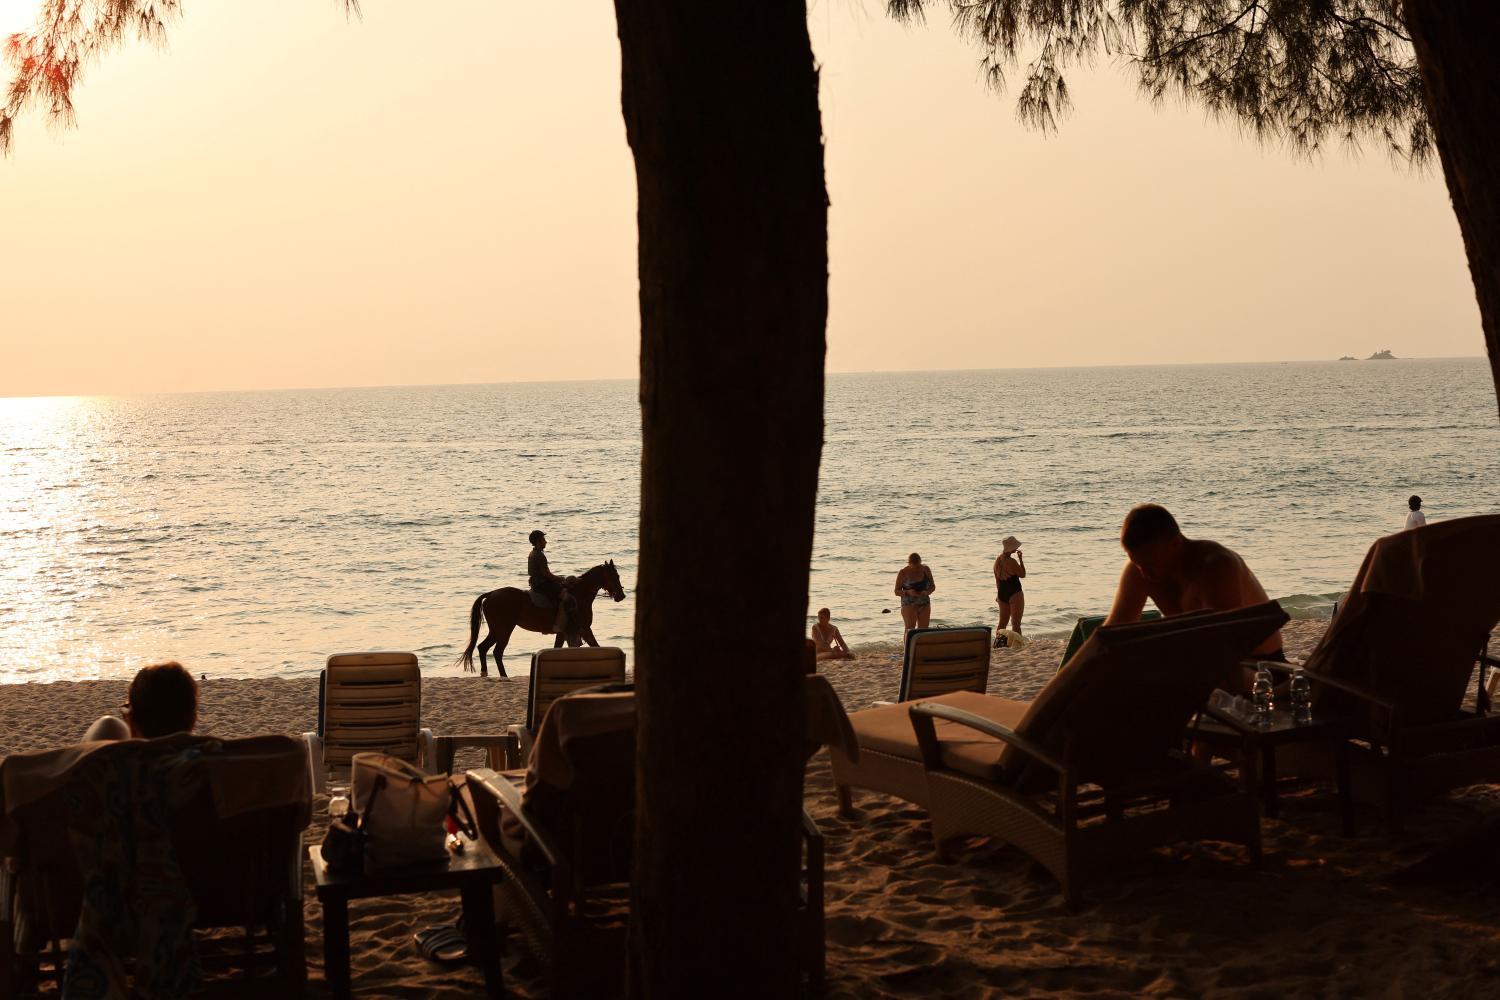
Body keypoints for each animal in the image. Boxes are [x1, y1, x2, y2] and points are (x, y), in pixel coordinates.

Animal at [453, 560, 624, 677]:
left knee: (483, 647)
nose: (621, 596)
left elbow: (560, 649)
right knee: (497, 651)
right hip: (504, 630)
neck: (579, 595)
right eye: (615, 576)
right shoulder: (583, 629)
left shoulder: (567, 632)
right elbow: (596, 646)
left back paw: (485, 674)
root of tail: (491, 594)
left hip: (496, 630)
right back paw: (503, 676)